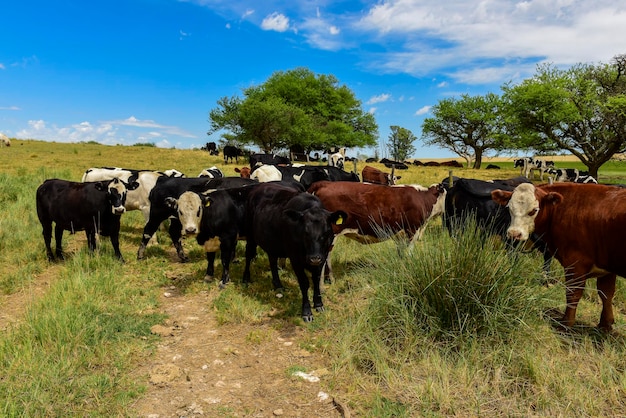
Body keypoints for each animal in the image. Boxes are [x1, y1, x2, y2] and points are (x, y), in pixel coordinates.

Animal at [241, 181, 346, 322]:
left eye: (326, 232)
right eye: (305, 232)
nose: (314, 258)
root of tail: (259, 187)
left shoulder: (322, 256)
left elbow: (316, 279)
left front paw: (319, 304)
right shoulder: (295, 259)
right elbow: (304, 283)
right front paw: (307, 312)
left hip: (272, 242)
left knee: (272, 261)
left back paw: (278, 284)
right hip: (250, 235)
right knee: (248, 255)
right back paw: (246, 278)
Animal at [306, 180, 444, 282]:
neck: (422, 198)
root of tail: (325, 183)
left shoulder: (400, 235)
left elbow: (400, 253)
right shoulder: (412, 231)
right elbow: (409, 253)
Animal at [490, 183, 626, 330]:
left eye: (533, 210)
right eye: (509, 208)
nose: (514, 234)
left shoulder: (575, 263)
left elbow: (573, 293)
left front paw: (566, 323)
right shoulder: (607, 266)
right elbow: (606, 293)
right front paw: (605, 324)